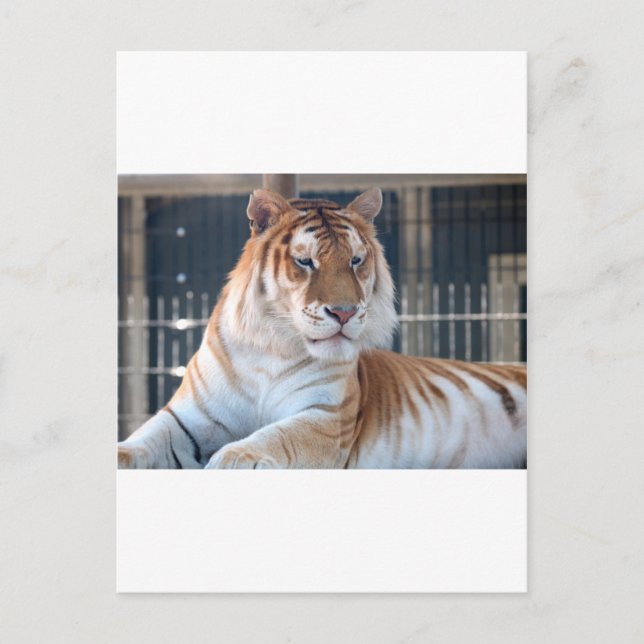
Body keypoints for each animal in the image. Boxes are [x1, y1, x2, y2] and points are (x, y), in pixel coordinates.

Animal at [118, 187, 527, 469]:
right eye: (305, 262)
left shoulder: (327, 416)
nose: (344, 313)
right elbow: (144, 439)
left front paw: (235, 457)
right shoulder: (188, 418)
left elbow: (279, 435)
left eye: (356, 261)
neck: (273, 347)